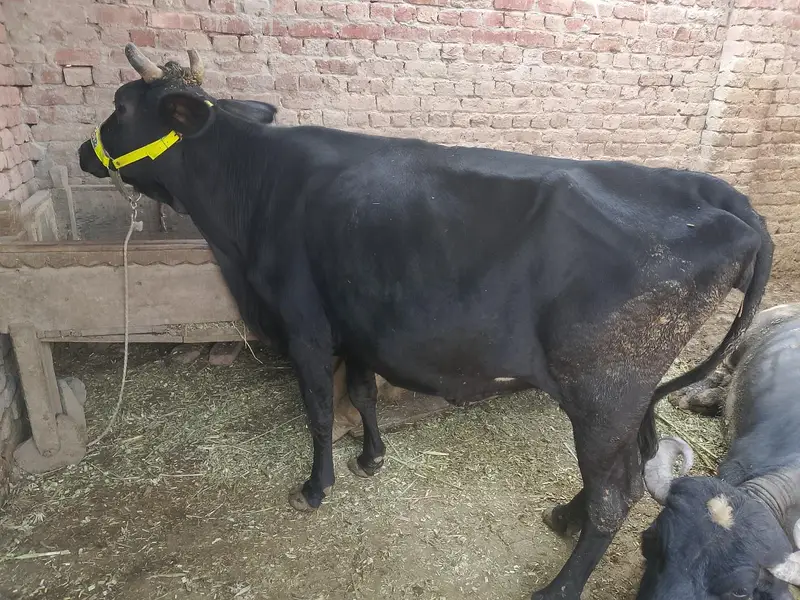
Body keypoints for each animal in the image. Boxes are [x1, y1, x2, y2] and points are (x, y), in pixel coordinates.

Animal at [77, 45, 773, 600]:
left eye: (120, 104)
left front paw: (316, 486)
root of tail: (732, 206)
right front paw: (372, 457)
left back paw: (559, 584)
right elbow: (361, 393)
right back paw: (563, 517)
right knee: (636, 460)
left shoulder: (304, 325)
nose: (84, 151)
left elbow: (319, 412)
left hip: (606, 386)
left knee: (616, 491)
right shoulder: (357, 324)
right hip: (628, 391)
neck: (249, 200)